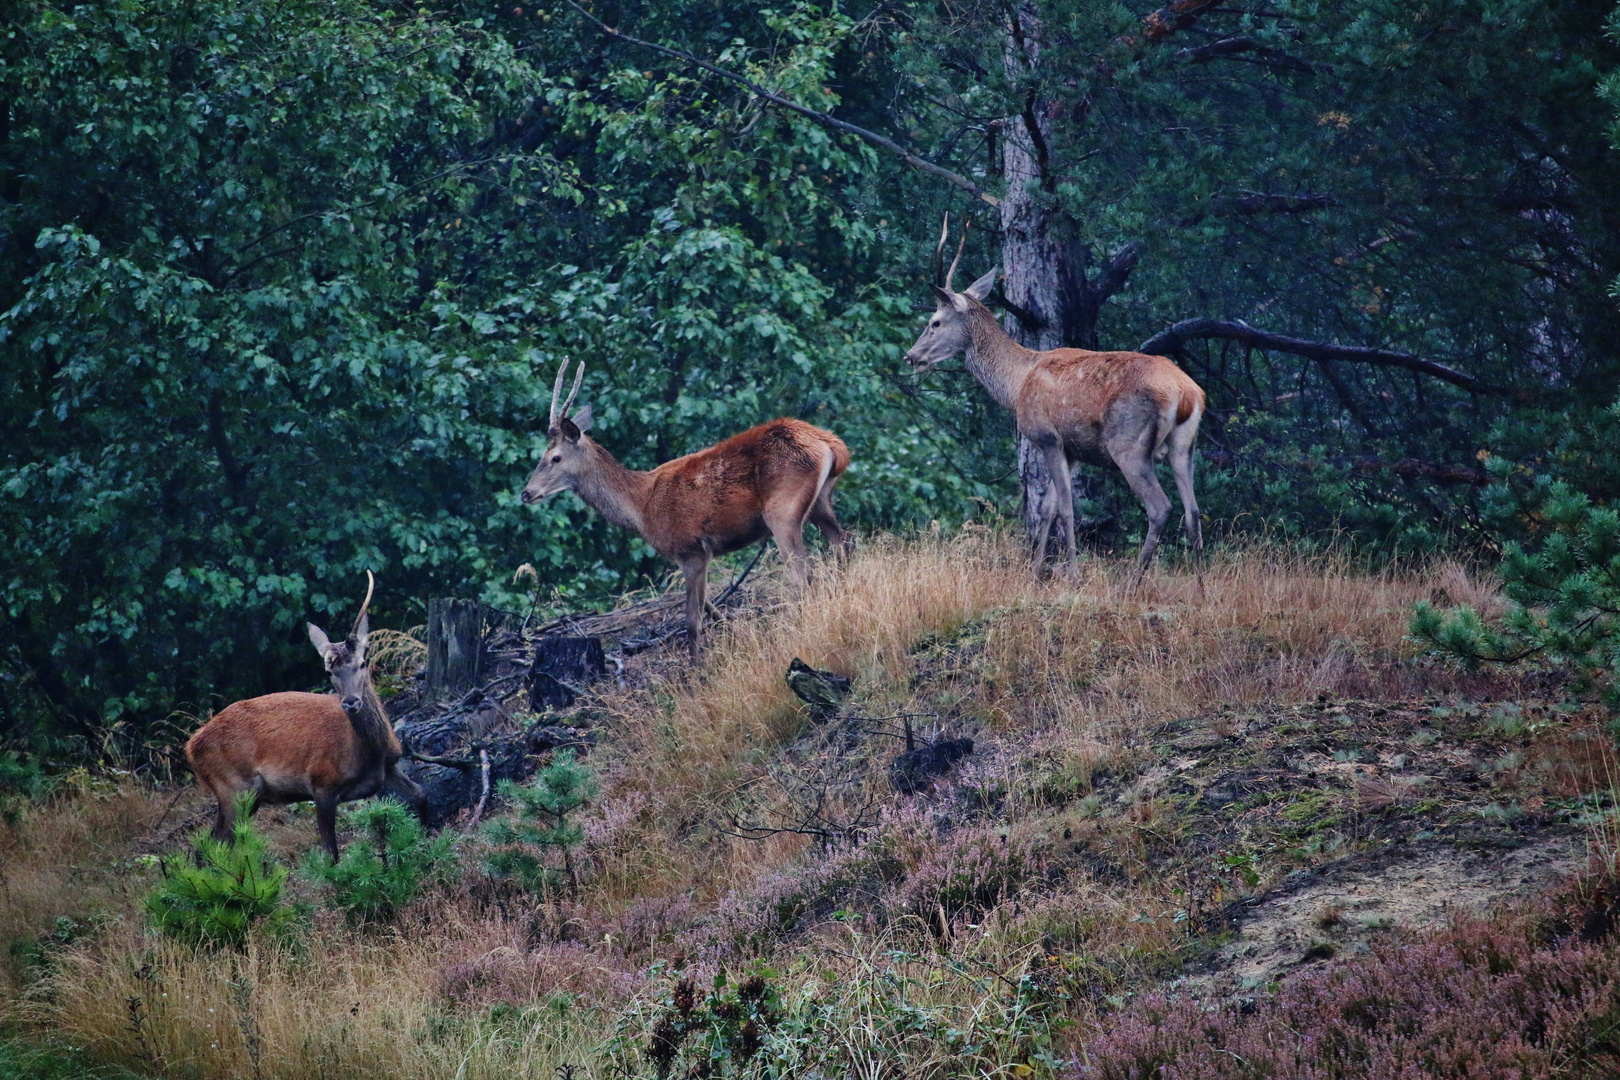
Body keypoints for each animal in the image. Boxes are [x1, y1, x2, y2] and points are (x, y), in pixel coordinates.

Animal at [183, 573, 424, 861]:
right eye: (329, 671)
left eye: (363, 663)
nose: (351, 702)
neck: (369, 754)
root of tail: (190, 747)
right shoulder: (322, 785)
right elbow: (330, 853)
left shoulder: (391, 766)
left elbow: (421, 794)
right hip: (234, 787)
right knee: (212, 845)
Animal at [521, 361, 855, 660]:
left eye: (554, 458)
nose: (526, 494)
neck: (641, 507)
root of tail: (835, 446)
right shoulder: (698, 554)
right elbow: (711, 609)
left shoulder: (690, 549)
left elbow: (692, 622)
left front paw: (695, 675)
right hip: (820, 501)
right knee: (843, 541)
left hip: (782, 509)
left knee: (802, 571)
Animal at [913, 221, 1205, 592]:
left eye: (934, 322)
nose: (911, 356)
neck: (1016, 385)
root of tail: (1187, 392)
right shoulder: (1073, 450)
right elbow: (1048, 508)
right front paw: (1036, 571)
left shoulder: (1046, 436)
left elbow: (1065, 509)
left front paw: (1072, 575)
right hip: (1185, 446)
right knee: (1193, 510)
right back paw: (1202, 588)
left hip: (1129, 444)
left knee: (1160, 507)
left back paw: (1130, 584)